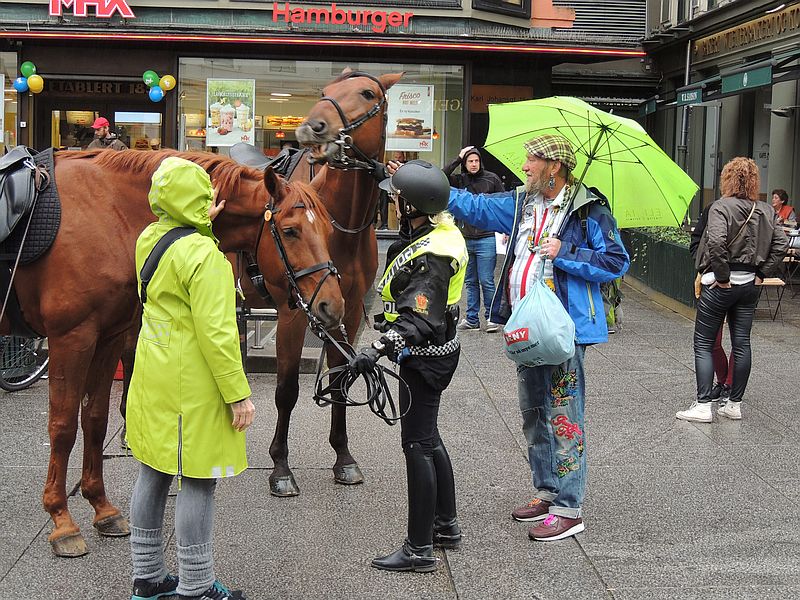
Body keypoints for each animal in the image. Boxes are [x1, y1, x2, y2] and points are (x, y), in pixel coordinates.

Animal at [3, 150, 346, 556]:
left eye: (328, 232)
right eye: (291, 230)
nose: (332, 306)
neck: (109, 211)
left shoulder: (107, 338)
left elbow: (95, 420)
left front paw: (101, 508)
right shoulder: (72, 339)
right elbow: (63, 427)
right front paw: (61, 520)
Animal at [260, 68, 400, 494]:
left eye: (367, 93)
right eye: (326, 90)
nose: (312, 126)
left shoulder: (346, 309)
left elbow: (342, 380)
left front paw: (343, 457)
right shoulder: (294, 311)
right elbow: (287, 390)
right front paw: (280, 466)